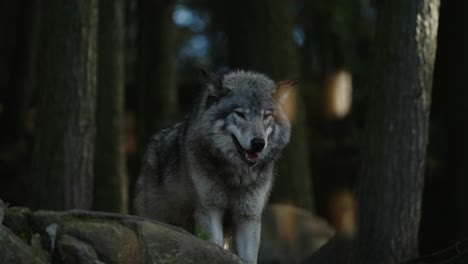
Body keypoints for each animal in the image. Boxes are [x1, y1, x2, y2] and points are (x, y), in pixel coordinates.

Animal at [133, 69, 292, 262]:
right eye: (240, 114)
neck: (236, 176)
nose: (258, 143)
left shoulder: (248, 217)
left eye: (266, 116)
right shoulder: (209, 210)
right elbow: (213, 247)